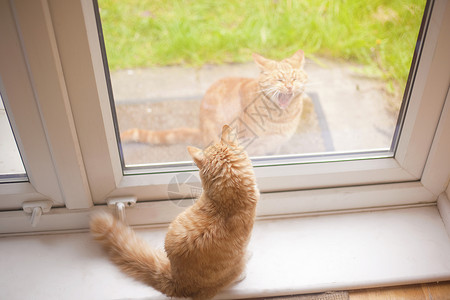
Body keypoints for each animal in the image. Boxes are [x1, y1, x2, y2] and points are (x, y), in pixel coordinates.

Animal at [121, 49, 308, 156]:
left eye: (294, 78)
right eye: (279, 79)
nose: (289, 86)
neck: (283, 118)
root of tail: (201, 128)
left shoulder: (275, 146)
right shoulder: (250, 145)